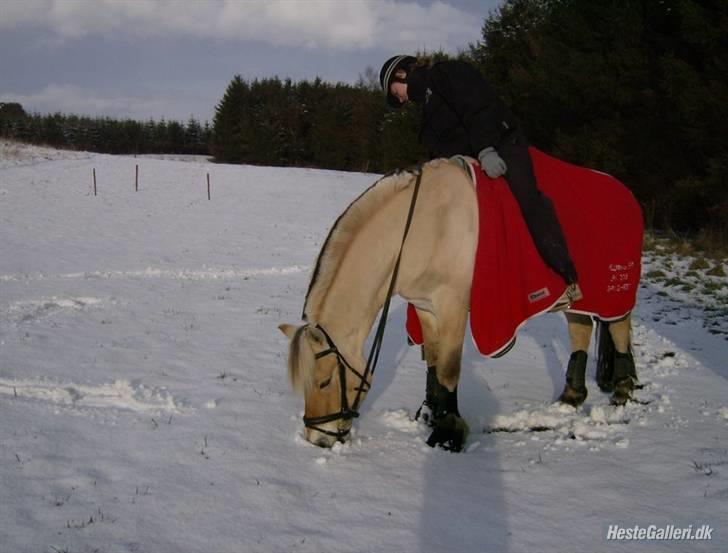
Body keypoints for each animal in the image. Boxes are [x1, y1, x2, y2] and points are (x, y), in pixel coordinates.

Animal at [278, 155, 636, 448]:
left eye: (324, 380)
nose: (316, 439)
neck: (419, 231)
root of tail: (626, 192)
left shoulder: (452, 305)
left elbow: (449, 369)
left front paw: (448, 432)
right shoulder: (425, 306)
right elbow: (434, 363)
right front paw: (431, 415)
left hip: (613, 293)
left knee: (619, 329)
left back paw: (621, 395)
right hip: (578, 300)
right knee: (581, 329)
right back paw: (571, 398)